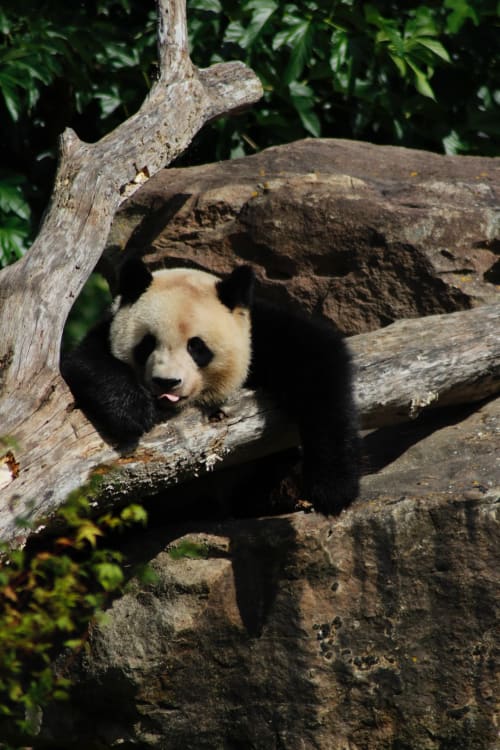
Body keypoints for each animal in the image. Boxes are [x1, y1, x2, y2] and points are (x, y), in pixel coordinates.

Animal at [62, 258, 360, 515]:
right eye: (147, 343)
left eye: (196, 346)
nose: (167, 382)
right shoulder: (102, 333)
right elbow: (84, 363)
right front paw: (131, 410)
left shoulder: (260, 335)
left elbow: (317, 362)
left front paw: (332, 489)